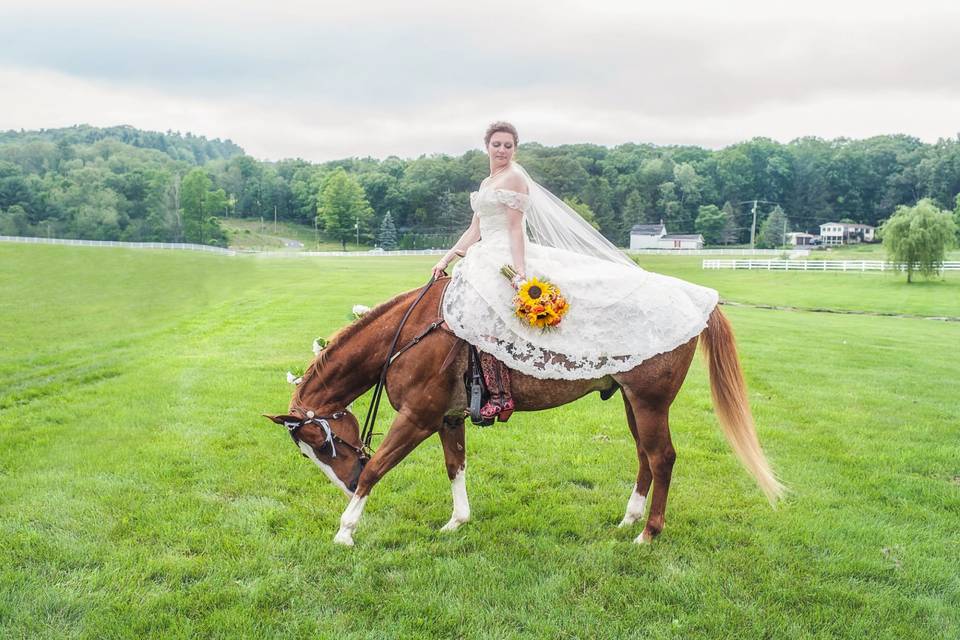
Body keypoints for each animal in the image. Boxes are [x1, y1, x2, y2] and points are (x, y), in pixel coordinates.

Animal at [262, 276, 780, 544]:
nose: (344, 483)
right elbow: (455, 466)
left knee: (663, 458)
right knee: (645, 458)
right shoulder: (448, 417)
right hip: (633, 402)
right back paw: (630, 518)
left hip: (650, 403)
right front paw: (457, 521)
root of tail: (695, 302)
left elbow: (379, 470)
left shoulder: (417, 419)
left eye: (321, 445)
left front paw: (346, 530)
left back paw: (649, 533)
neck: (414, 331)